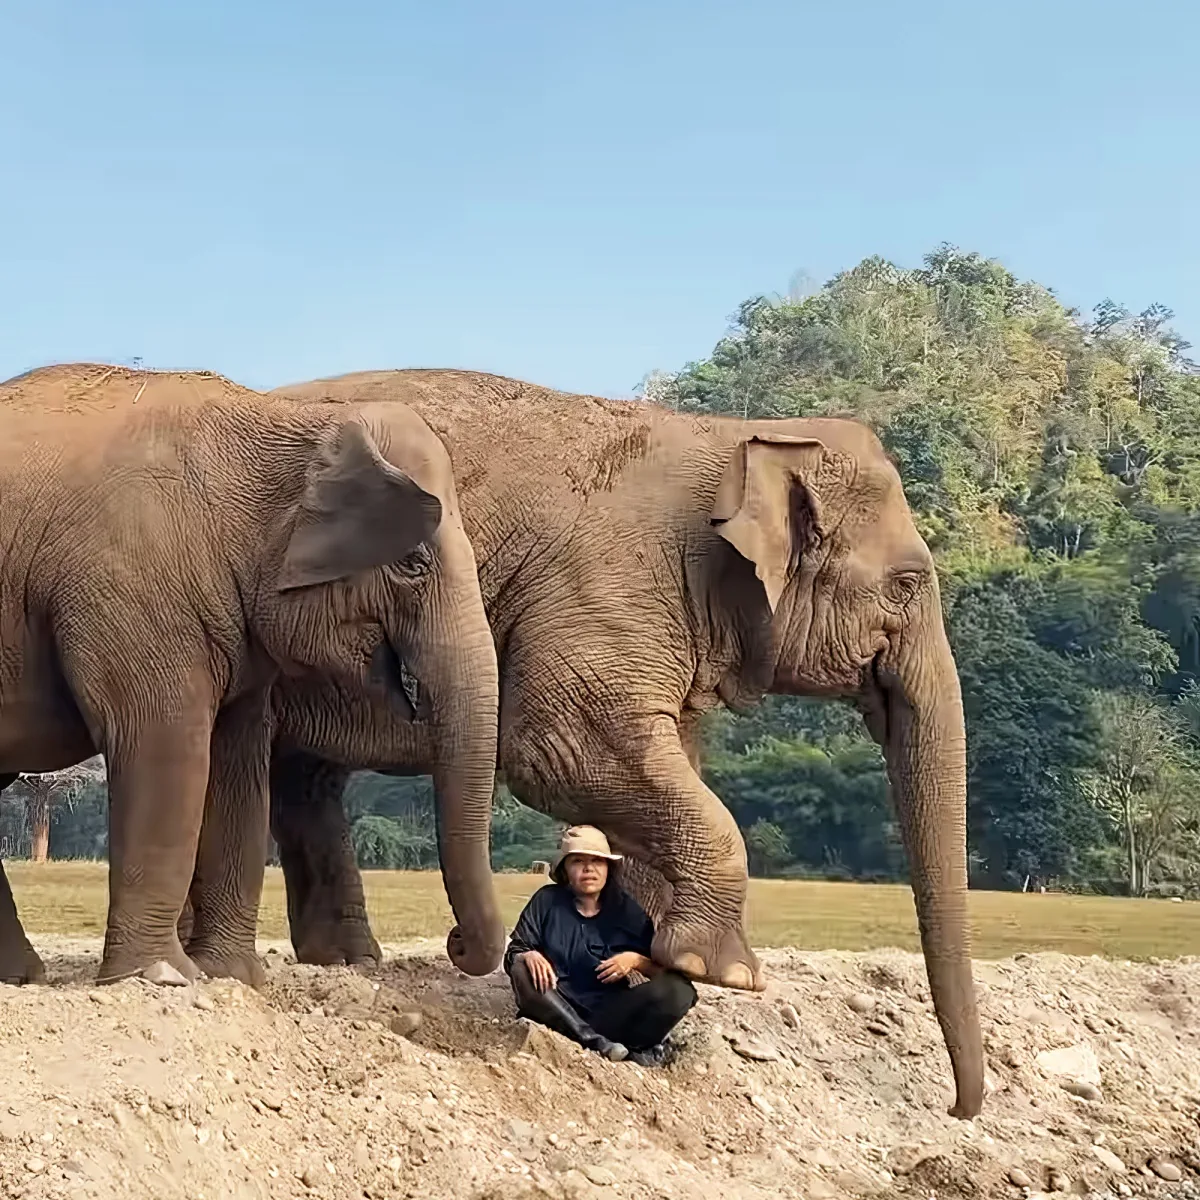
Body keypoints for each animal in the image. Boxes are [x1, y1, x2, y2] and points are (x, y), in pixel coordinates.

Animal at [0, 363, 503, 988]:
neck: (284, 422)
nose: (457, 943)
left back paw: (22, 978)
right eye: (413, 564)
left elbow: (236, 767)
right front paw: (163, 978)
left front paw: (231, 977)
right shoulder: (132, 590)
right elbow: (164, 747)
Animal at [201, 367, 983, 1119]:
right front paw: (724, 970)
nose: (958, 1108)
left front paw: (667, 958)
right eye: (908, 584)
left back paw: (347, 963)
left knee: (307, 781)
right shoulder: (605, 591)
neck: (734, 435)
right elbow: (558, 750)